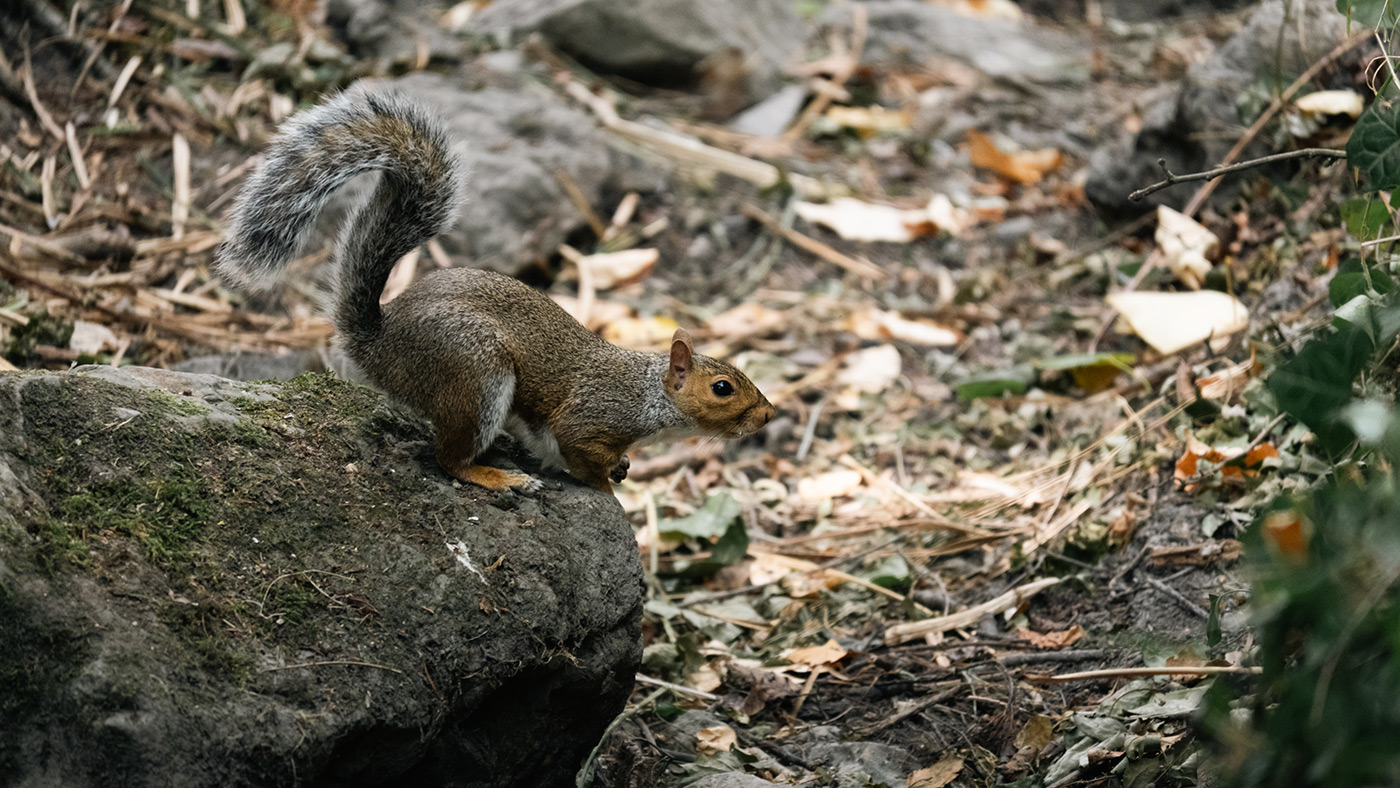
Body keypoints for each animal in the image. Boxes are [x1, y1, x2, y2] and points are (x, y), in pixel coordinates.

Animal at [215, 88, 775, 494]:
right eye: (722, 388)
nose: (769, 414)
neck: (648, 395)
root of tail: (377, 343)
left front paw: (621, 469)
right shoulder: (589, 420)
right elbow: (582, 459)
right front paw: (606, 484)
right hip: (475, 372)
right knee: (447, 458)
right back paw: (498, 477)